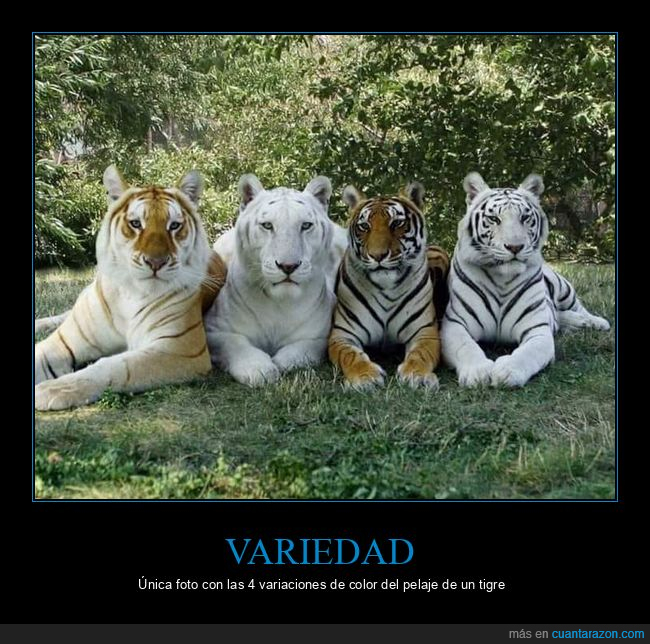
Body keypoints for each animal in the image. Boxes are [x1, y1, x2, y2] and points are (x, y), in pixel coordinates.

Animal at [34, 165, 226, 410]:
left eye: (174, 226)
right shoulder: (63, 341)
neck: (131, 293)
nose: (156, 262)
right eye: (136, 224)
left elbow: (115, 366)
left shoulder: (181, 349)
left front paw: (53, 389)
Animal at [205, 174, 347, 387]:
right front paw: (258, 369)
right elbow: (235, 344)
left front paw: (281, 362)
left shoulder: (321, 335)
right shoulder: (214, 330)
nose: (288, 266)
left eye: (305, 225)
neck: (280, 303)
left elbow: (304, 349)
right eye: (267, 225)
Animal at [328, 182, 450, 391]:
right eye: (364, 226)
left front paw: (417, 375)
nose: (378, 256)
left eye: (397, 224)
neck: (386, 288)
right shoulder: (342, 335)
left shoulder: (425, 332)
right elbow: (351, 356)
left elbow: (421, 354)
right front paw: (365, 377)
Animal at [441, 171, 611, 388]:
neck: (501, 279)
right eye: (494, 219)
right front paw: (477, 372)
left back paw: (595, 322)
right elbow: (466, 347)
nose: (515, 247)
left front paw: (507, 371)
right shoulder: (455, 323)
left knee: (577, 308)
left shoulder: (537, 330)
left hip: (563, 288)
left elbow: (527, 353)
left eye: (524, 217)